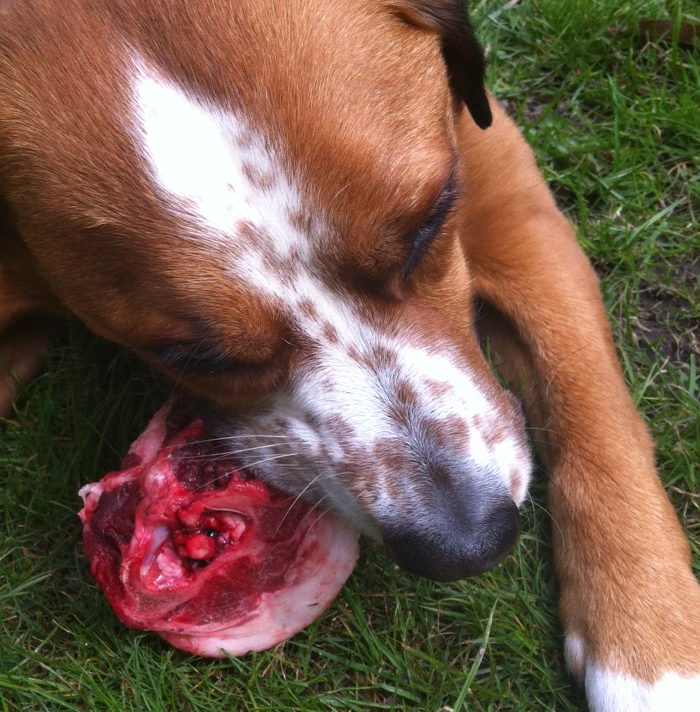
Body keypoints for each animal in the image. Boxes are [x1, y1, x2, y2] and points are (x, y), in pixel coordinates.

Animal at [1, 0, 700, 708]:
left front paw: (652, 644)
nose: (468, 544)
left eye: (431, 221)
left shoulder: (503, 189)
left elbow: (589, 402)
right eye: (197, 356)